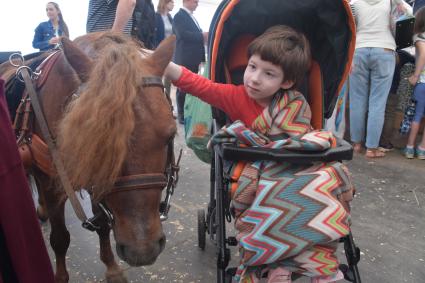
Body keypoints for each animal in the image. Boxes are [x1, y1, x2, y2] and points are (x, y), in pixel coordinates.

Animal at [0, 32, 177, 282]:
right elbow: (60, 238)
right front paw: (61, 276)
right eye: (96, 140)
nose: (142, 249)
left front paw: (111, 267)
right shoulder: (54, 186)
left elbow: (102, 225)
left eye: (170, 135)